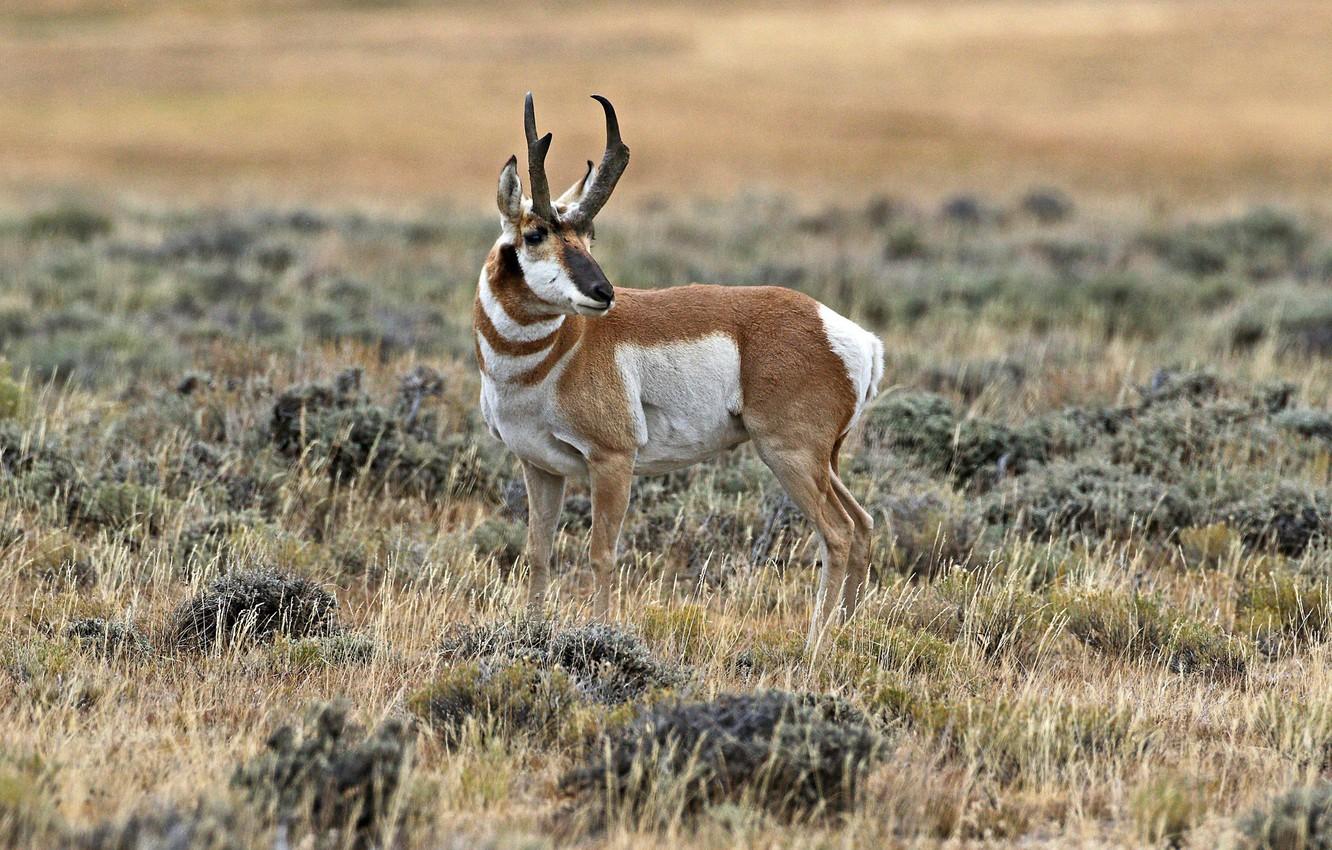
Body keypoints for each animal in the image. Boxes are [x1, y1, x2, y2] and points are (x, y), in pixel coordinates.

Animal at [476, 94, 884, 644]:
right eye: (536, 232)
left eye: (589, 234)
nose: (604, 293)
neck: (551, 356)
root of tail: (851, 335)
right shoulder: (540, 466)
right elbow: (538, 552)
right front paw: (533, 633)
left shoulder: (612, 461)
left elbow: (601, 554)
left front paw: (601, 636)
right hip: (825, 461)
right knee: (862, 527)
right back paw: (844, 635)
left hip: (790, 456)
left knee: (837, 534)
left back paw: (815, 646)